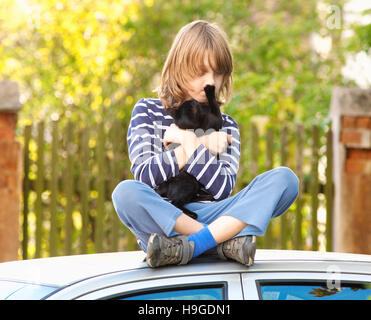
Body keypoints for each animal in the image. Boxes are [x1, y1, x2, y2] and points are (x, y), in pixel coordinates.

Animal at [155, 85, 224, 220]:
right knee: (175, 203)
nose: (192, 99)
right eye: (190, 104)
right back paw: (193, 214)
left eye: (187, 104)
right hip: (189, 184)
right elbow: (214, 104)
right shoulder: (216, 119)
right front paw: (209, 91)